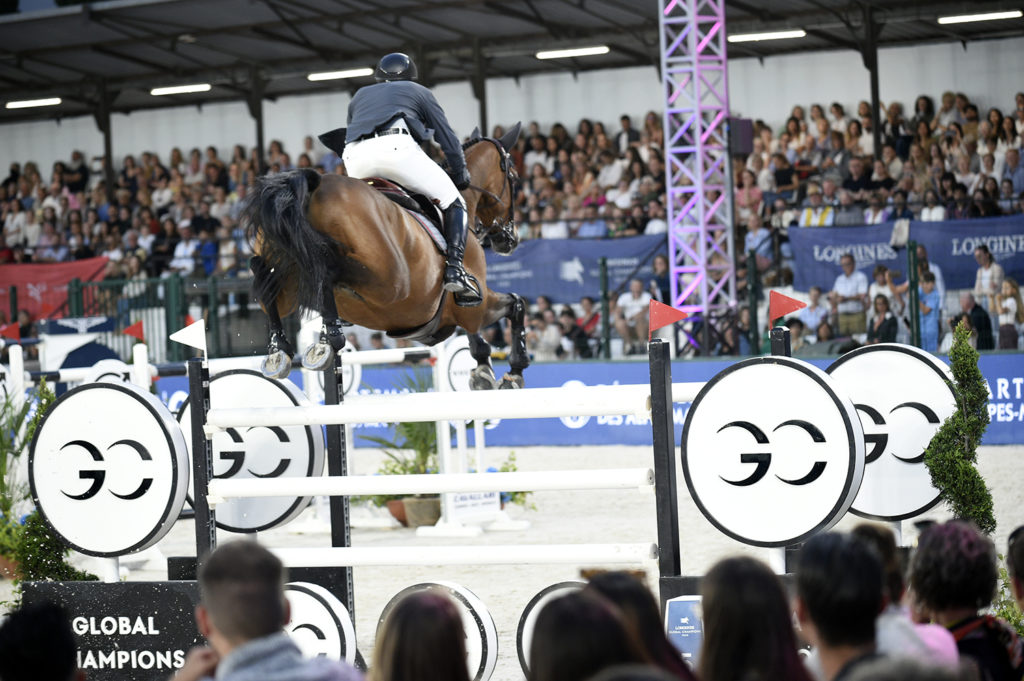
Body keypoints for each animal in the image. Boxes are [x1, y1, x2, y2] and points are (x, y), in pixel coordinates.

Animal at [239, 122, 528, 387]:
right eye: (513, 177)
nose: (510, 240)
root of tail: (315, 183)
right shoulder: (476, 307)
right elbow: (516, 304)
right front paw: (510, 371)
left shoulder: (461, 314)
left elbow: (486, 327)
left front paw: (484, 370)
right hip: (390, 284)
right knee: (326, 267)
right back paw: (330, 337)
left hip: (291, 284)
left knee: (268, 280)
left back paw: (281, 350)